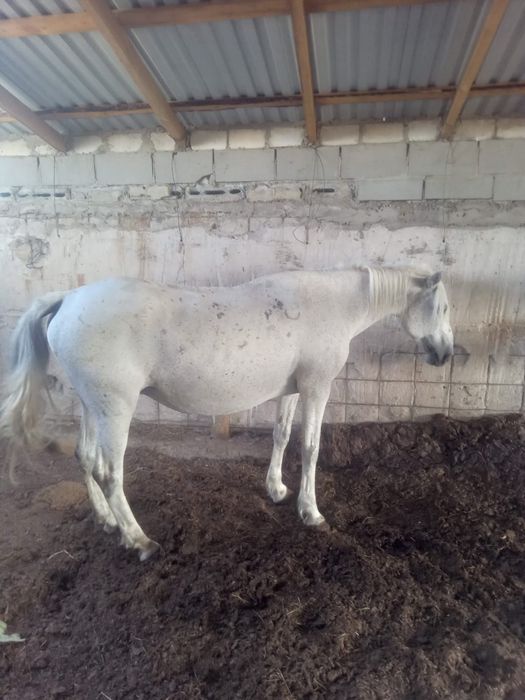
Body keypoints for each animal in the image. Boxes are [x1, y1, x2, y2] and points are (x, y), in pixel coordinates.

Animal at [0, 267, 453, 561]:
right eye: (444, 308)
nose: (446, 353)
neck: (331, 303)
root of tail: (68, 299)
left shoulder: (292, 390)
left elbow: (282, 436)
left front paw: (277, 489)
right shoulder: (316, 388)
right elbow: (310, 447)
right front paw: (311, 512)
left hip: (92, 405)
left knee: (86, 458)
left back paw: (107, 521)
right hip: (115, 409)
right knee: (110, 472)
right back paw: (139, 540)